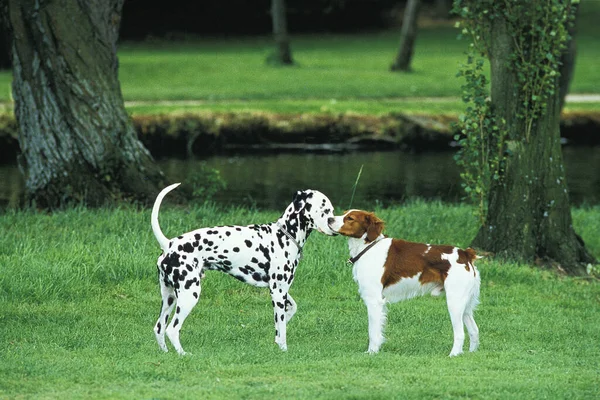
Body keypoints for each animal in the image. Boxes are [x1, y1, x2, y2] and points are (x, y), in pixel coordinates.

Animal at [151, 183, 338, 354]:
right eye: (324, 210)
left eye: (331, 210)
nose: (334, 225)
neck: (284, 235)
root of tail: (169, 244)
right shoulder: (278, 292)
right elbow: (282, 328)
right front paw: (283, 349)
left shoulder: (280, 291)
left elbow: (286, 316)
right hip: (189, 295)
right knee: (172, 329)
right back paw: (183, 354)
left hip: (169, 298)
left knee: (159, 328)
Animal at [330, 209, 480, 356]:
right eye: (343, 213)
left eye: (350, 218)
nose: (329, 219)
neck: (368, 246)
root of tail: (465, 254)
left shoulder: (374, 300)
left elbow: (373, 331)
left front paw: (371, 352)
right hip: (465, 304)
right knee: (474, 330)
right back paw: (471, 353)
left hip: (454, 301)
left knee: (460, 333)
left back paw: (453, 355)